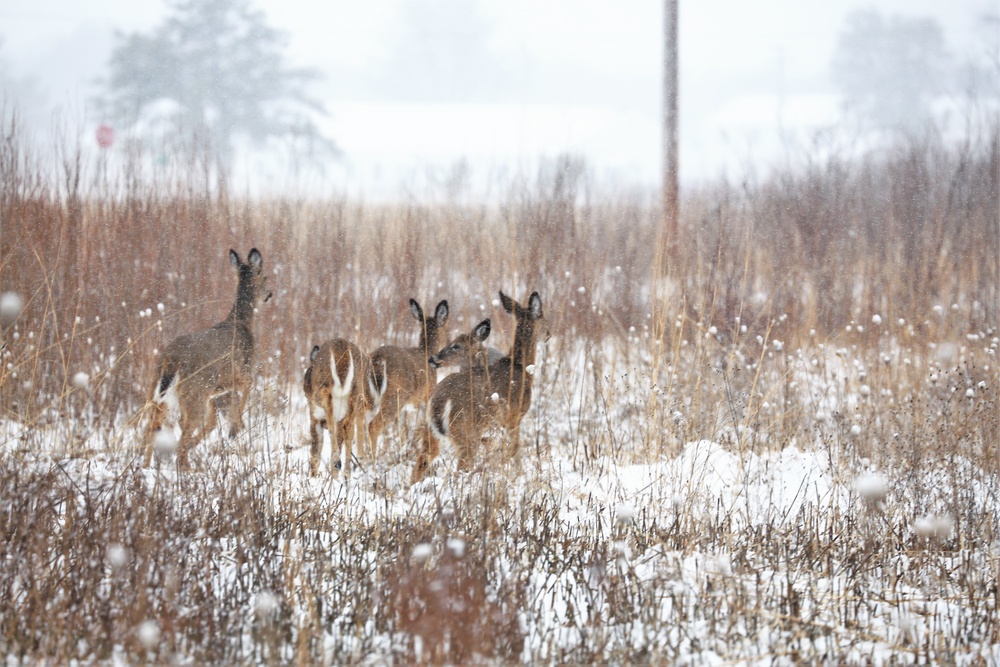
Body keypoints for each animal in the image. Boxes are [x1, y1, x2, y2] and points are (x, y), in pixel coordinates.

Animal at [141, 247, 272, 470]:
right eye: (264, 276)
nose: (269, 294)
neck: (242, 323)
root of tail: (171, 359)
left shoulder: (214, 391)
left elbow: (211, 423)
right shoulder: (242, 373)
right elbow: (244, 394)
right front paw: (235, 428)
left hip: (157, 391)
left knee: (153, 425)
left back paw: (146, 466)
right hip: (194, 391)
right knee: (183, 425)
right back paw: (186, 466)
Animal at [300, 342, 378, 478]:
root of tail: (343, 348)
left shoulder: (314, 418)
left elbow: (315, 453)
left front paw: (313, 477)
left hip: (326, 388)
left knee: (333, 423)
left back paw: (337, 463)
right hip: (356, 395)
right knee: (349, 431)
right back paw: (348, 471)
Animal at [410, 290, 544, 482]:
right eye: (542, 316)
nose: (548, 334)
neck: (521, 366)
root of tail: (439, 402)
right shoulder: (514, 416)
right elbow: (514, 450)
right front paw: (519, 476)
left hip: (432, 431)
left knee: (421, 461)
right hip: (466, 432)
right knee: (461, 469)